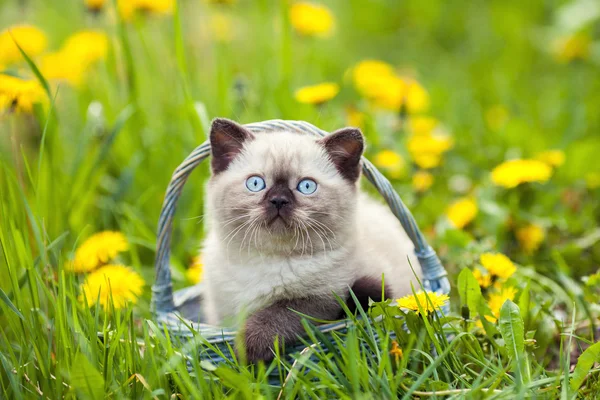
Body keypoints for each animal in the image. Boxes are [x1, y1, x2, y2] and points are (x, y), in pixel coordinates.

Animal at [202, 119, 418, 362]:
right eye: (256, 183)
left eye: (306, 186)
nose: (279, 200)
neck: (269, 261)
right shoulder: (222, 314)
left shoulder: (323, 298)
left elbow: (278, 314)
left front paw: (246, 351)